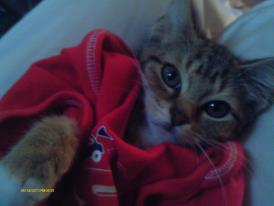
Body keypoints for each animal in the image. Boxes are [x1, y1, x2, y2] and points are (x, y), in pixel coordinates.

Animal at [0, 0, 274, 206]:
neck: (143, 140)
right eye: (170, 75)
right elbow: (68, 115)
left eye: (217, 109)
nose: (177, 116)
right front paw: (28, 167)